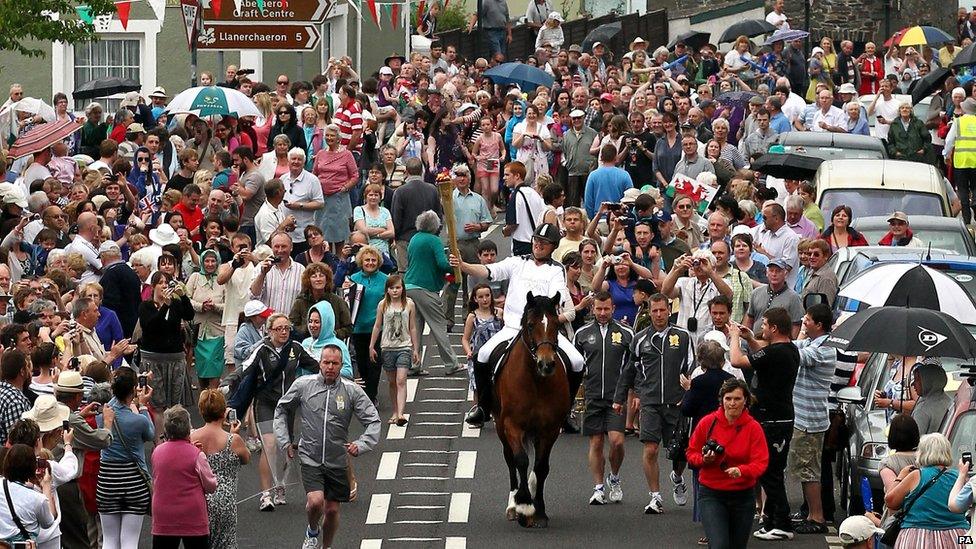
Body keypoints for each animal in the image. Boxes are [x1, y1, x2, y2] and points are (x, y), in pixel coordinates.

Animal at [496, 292, 572, 528]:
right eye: (530, 325)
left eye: (556, 324)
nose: (546, 364)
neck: (536, 381)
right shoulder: (512, 425)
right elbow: (520, 460)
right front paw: (524, 506)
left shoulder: (550, 429)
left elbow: (541, 467)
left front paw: (539, 511)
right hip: (500, 426)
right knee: (510, 459)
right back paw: (513, 505)